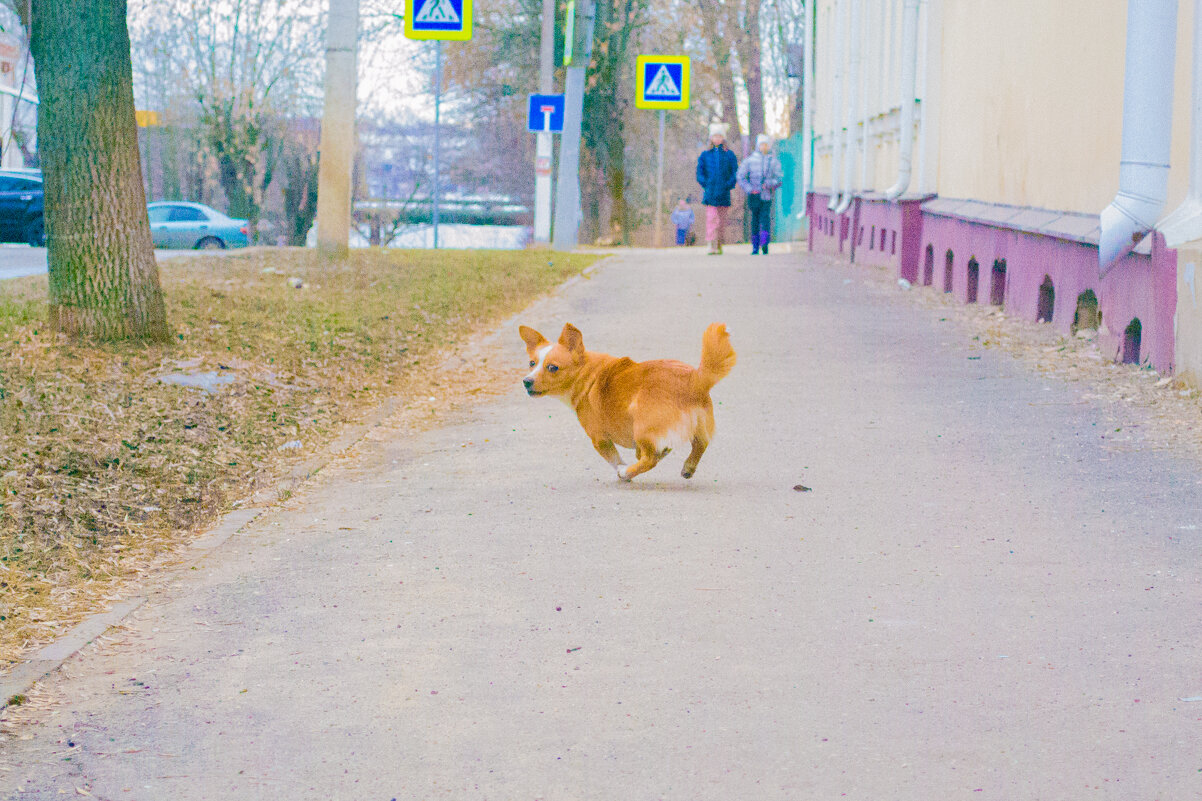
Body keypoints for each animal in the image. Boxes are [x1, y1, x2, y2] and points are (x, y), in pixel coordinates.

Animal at [521, 319, 735, 481]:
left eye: (552, 368)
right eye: (532, 363)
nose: (526, 381)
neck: (585, 372)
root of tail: (694, 380)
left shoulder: (599, 439)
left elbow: (615, 459)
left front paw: (622, 471)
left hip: (641, 425)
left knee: (649, 459)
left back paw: (627, 472)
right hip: (699, 425)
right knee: (700, 444)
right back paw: (687, 467)